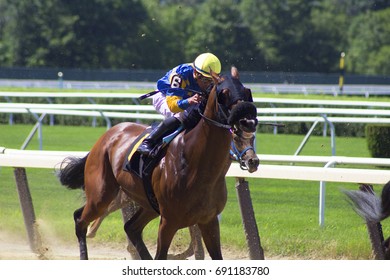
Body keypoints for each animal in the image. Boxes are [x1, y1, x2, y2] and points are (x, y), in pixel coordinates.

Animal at [58, 66, 258, 260]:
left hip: (147, 204)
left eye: (246, 91)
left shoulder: (208, 220)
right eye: (224, 93)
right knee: (80, 220)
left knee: (130, 227)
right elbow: (161, 255)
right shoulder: (169, 221)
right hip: (101, 195)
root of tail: (107, 135)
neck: (198, 166)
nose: (248, 122)